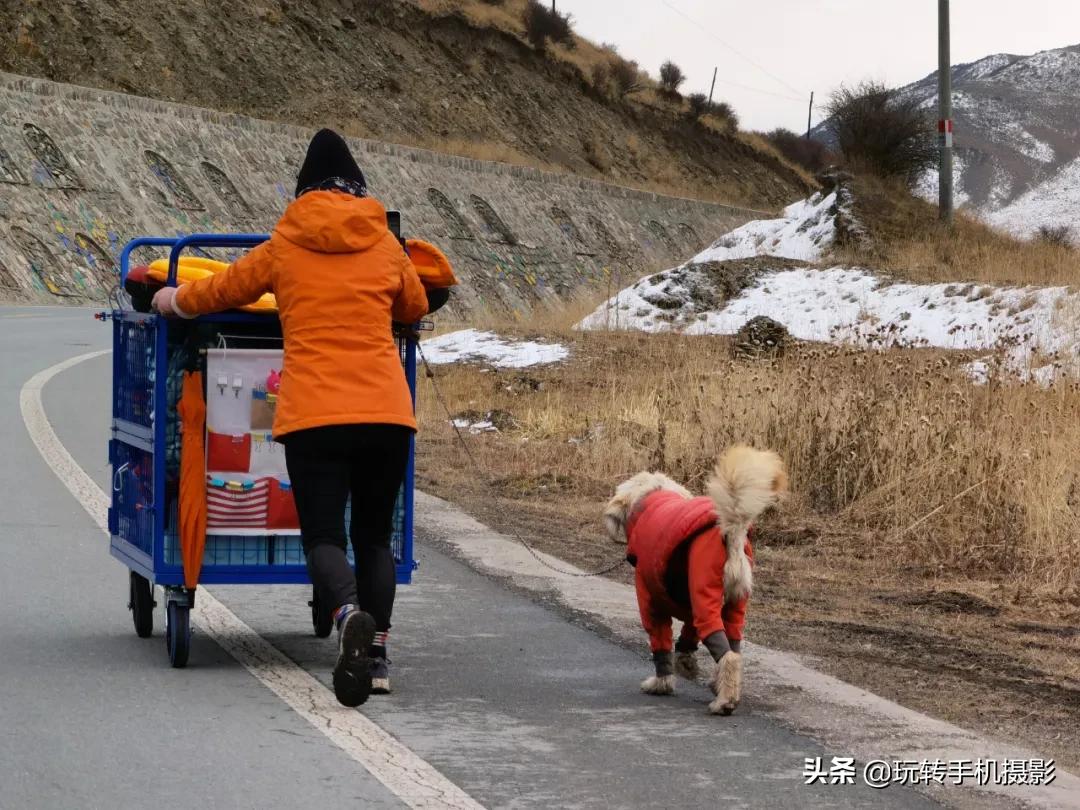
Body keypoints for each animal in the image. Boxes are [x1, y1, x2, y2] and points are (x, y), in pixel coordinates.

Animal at [609, 447, 786, 721]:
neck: (651, 499)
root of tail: (730, 534)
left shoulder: (650, 600)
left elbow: (660, 641)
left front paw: (661, 684)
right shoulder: (691, 599)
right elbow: (687, 635)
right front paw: (685, 662)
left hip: (706, 596)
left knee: (727, 655)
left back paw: (724, 702)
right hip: (732, 603)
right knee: (733, 648)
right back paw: (720, 686)